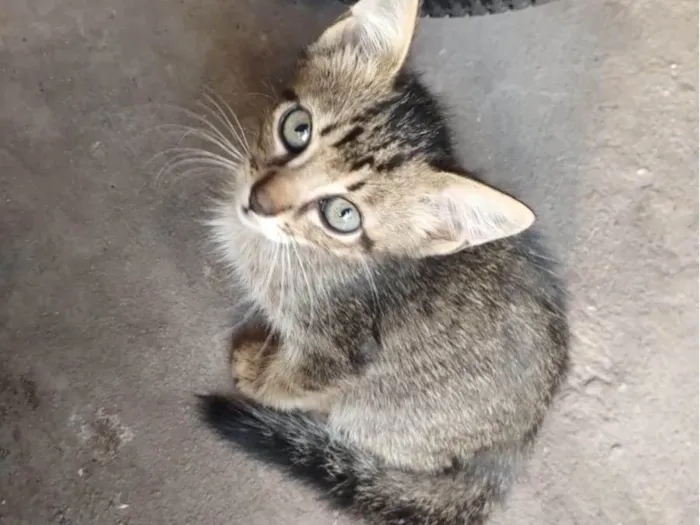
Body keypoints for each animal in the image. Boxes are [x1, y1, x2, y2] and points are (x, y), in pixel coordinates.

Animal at [197, 1, 568, 524]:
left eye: (342, 215)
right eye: (297, 128)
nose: (259, 201)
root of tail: (512, 450)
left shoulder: (339, 355)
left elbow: (290, 383)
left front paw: (258, 373)